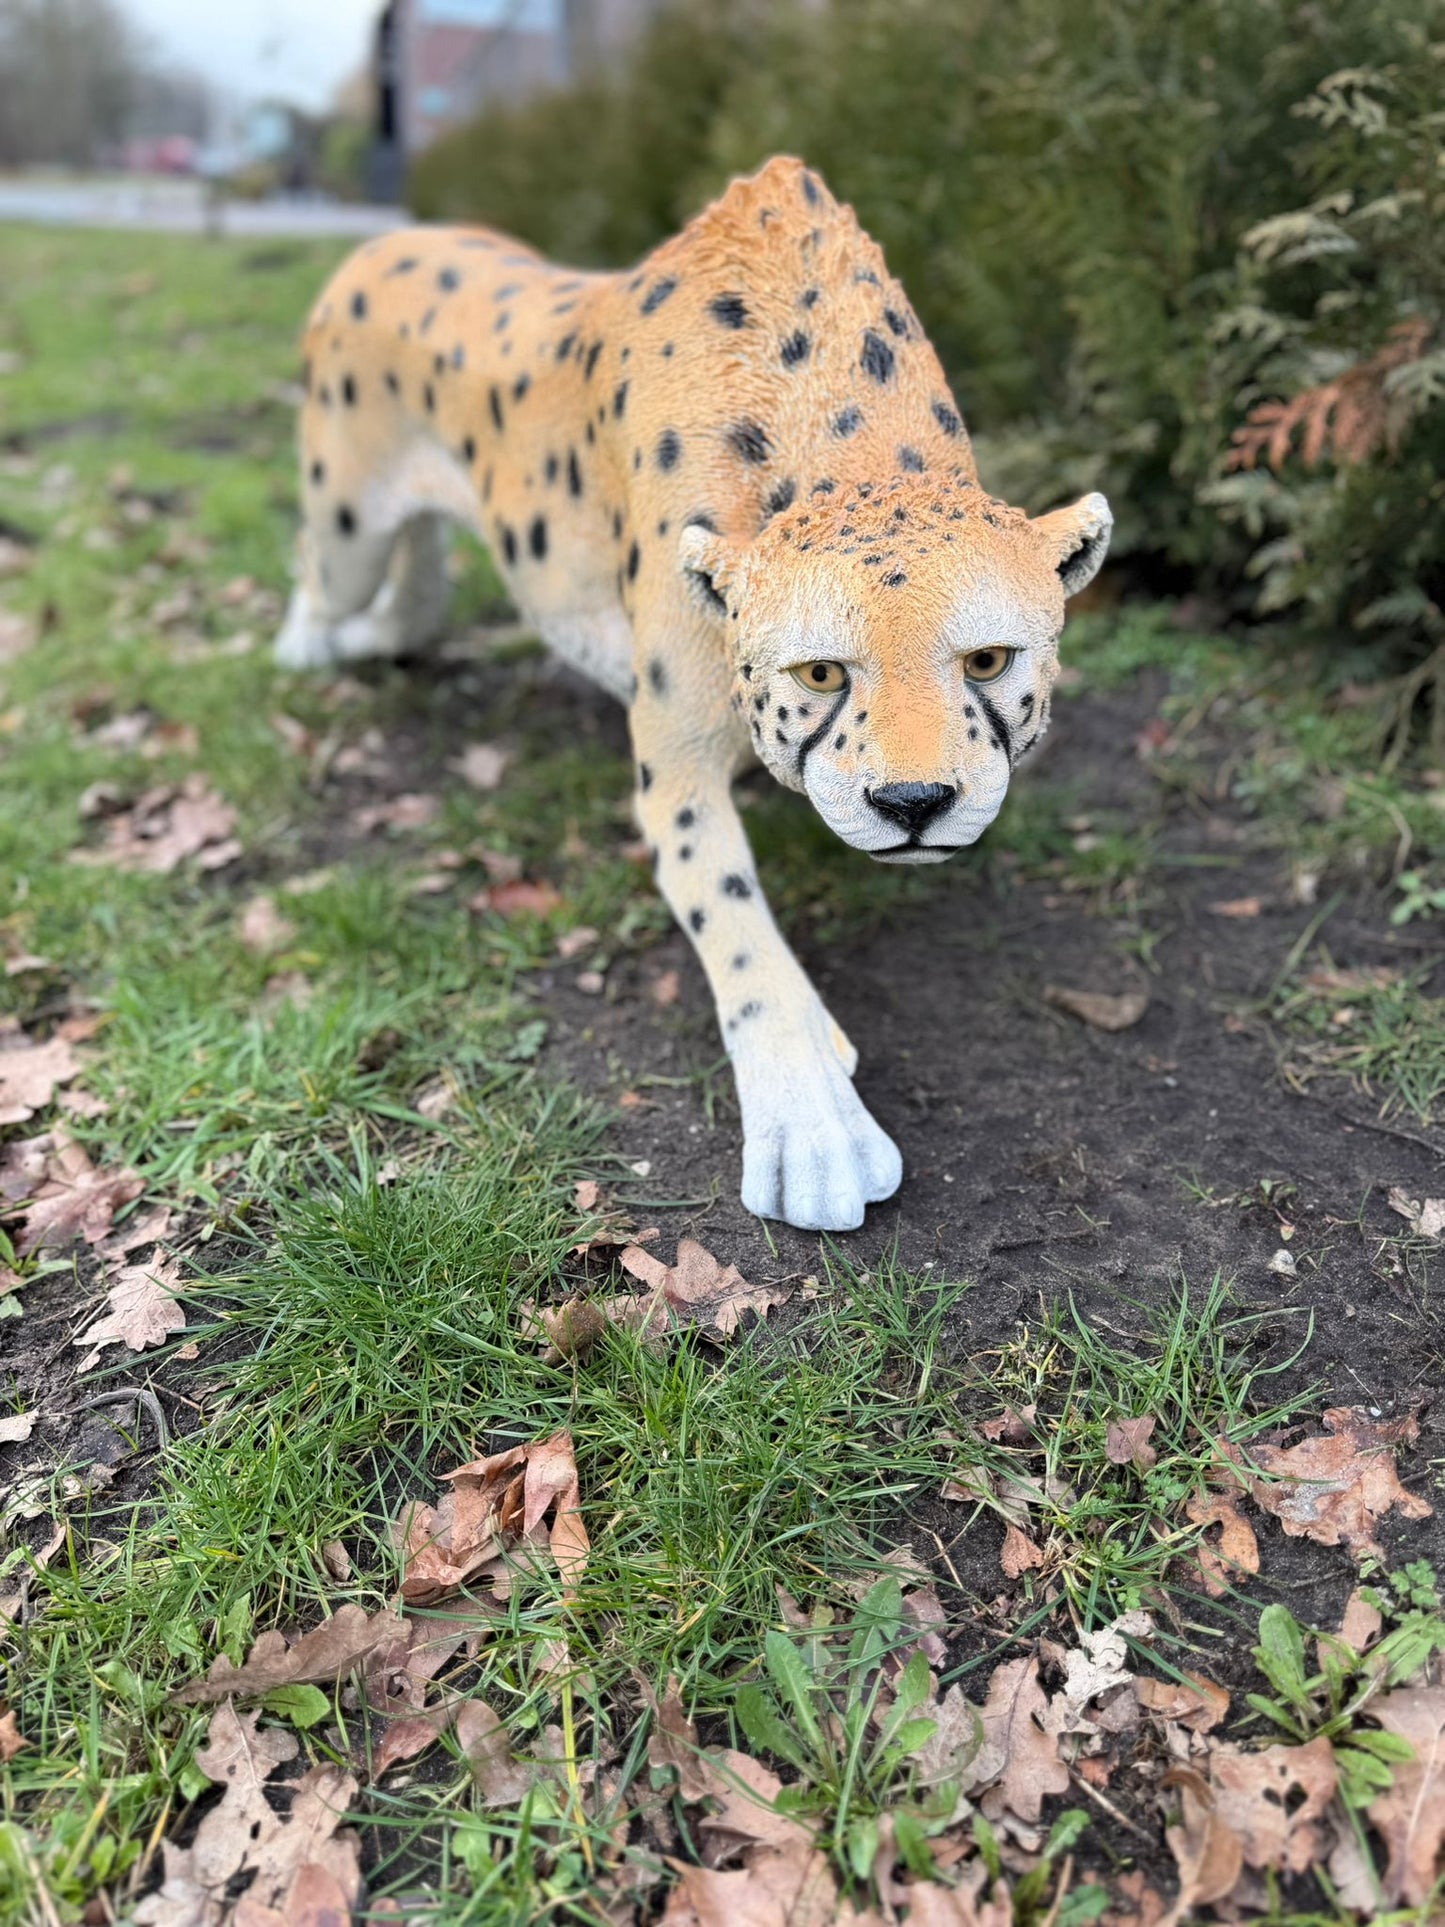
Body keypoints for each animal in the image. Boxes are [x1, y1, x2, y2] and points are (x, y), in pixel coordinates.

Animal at [275, 155, 1112, 1232]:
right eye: (819, 671)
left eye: (986, 660)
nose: (913, 803)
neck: (829, 429)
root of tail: (383, 239)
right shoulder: (670, 771)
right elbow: (734, 918)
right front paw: (814, 1127)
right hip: (346, 523)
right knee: (319, 568)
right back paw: (306, 648)